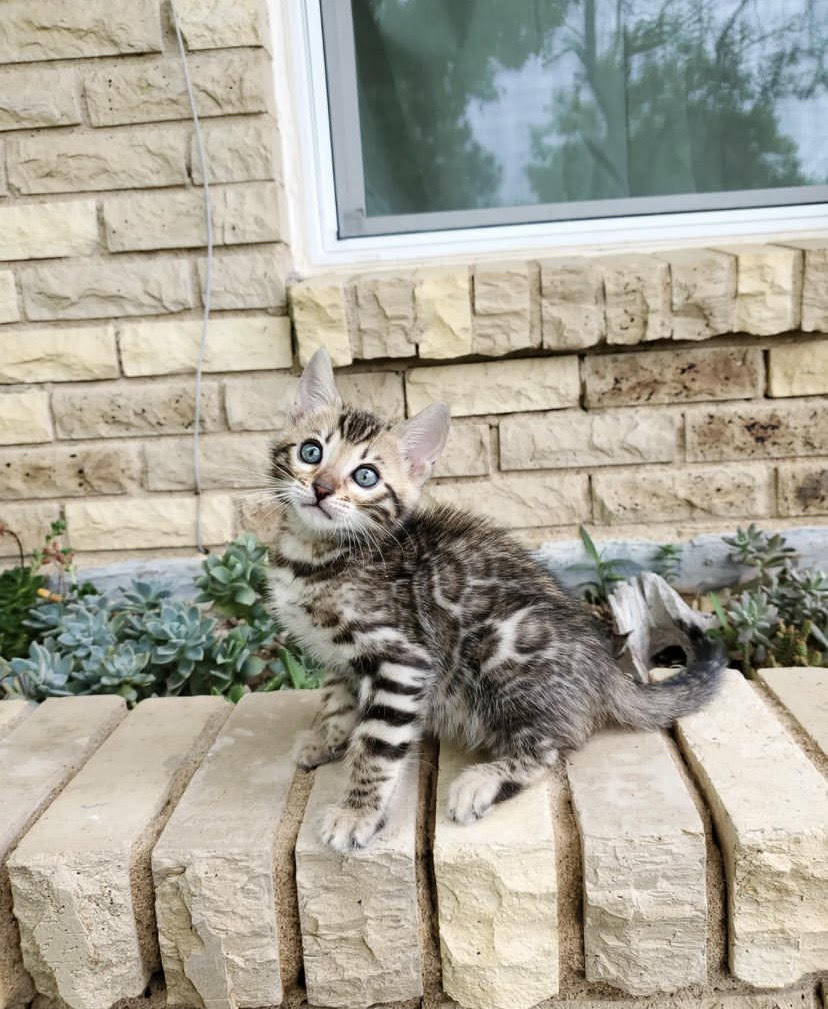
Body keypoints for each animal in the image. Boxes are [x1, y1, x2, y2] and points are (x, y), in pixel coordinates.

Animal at [266, 348, 725, 852]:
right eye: (311, 451)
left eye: (365, 476)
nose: (322, 488)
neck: (316, 555)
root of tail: (606, 671)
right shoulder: (340, 656)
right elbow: (337, 700)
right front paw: (326, 738)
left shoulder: (401, 658)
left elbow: (377, 744)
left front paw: (357, 812)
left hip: (503, 645)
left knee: (553, 745)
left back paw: (483, 780)